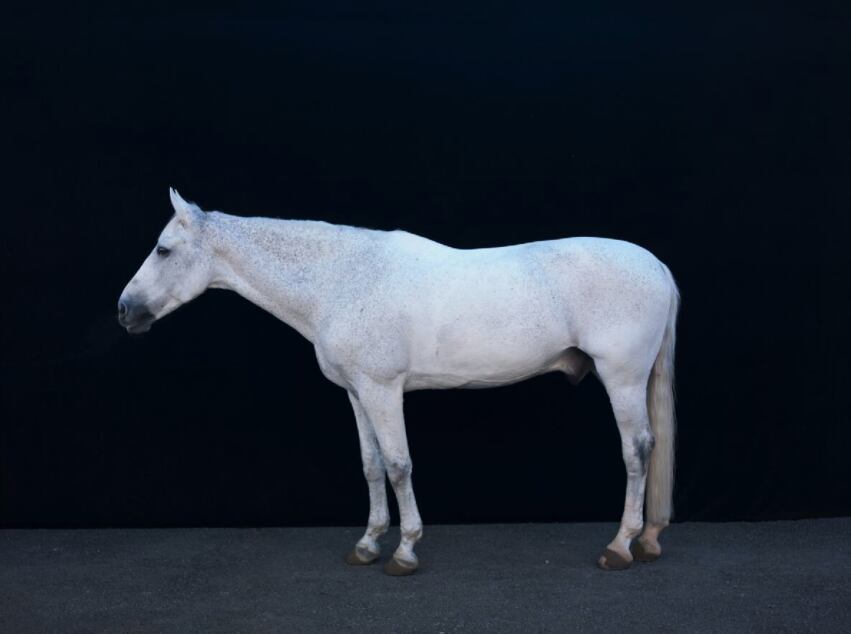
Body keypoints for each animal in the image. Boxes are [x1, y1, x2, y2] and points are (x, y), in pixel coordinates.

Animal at [118, 189, 679, 575]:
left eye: (164, 250)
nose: (125, 310)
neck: (342, 279)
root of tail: (657, 266)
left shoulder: (383, 389)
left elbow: (398, 464)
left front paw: (405, 550)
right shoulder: (356, 393)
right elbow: (370, 467)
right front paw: (368, 543)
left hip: (622, 378)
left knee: (637, 450)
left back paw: (621, 545)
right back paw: (650, 538)